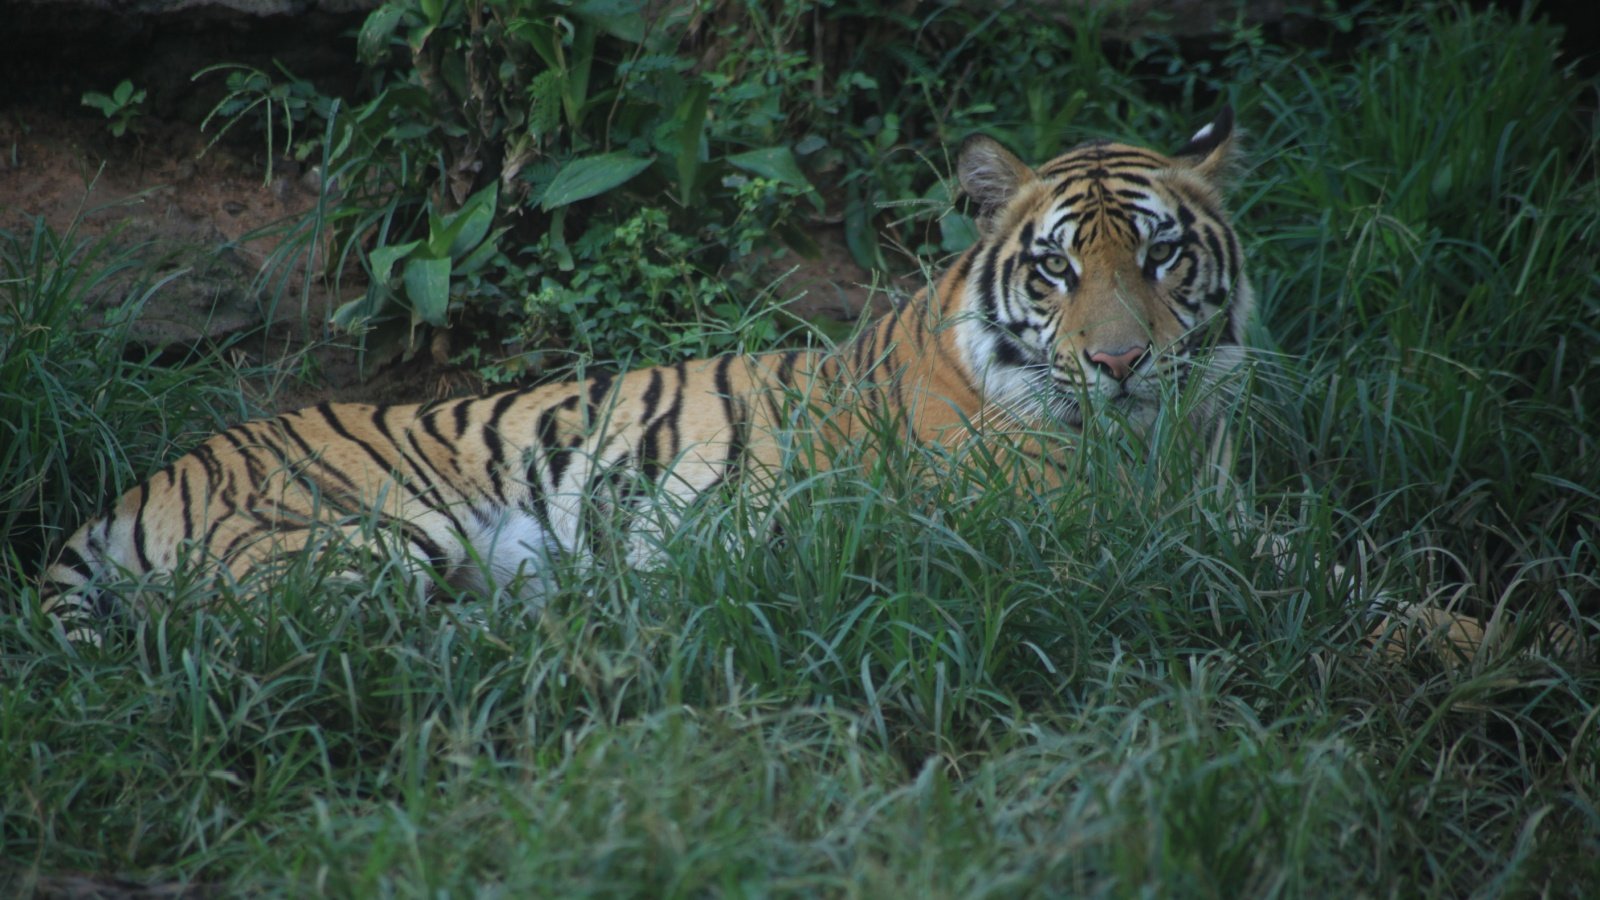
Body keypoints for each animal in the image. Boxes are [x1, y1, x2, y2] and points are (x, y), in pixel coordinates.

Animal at [40, 108, 1248, 640]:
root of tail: (136, 489)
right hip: (358, 546)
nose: (1121, 361)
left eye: (1160, 256)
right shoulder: (1037, 528)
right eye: (1055, 269)